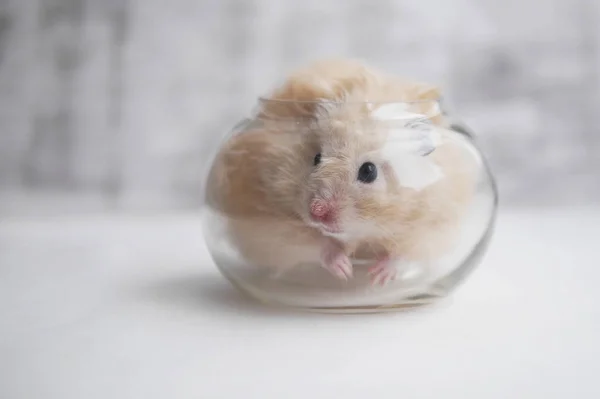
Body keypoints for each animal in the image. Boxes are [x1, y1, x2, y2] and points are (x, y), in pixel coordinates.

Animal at [206, 58, 478, 284]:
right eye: (316, 158)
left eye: (368, 171)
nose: (317, 212)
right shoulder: (269, 228)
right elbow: (316, 246)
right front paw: (344, 270)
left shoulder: (434, 226)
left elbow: (406, 254)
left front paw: (378, 276)